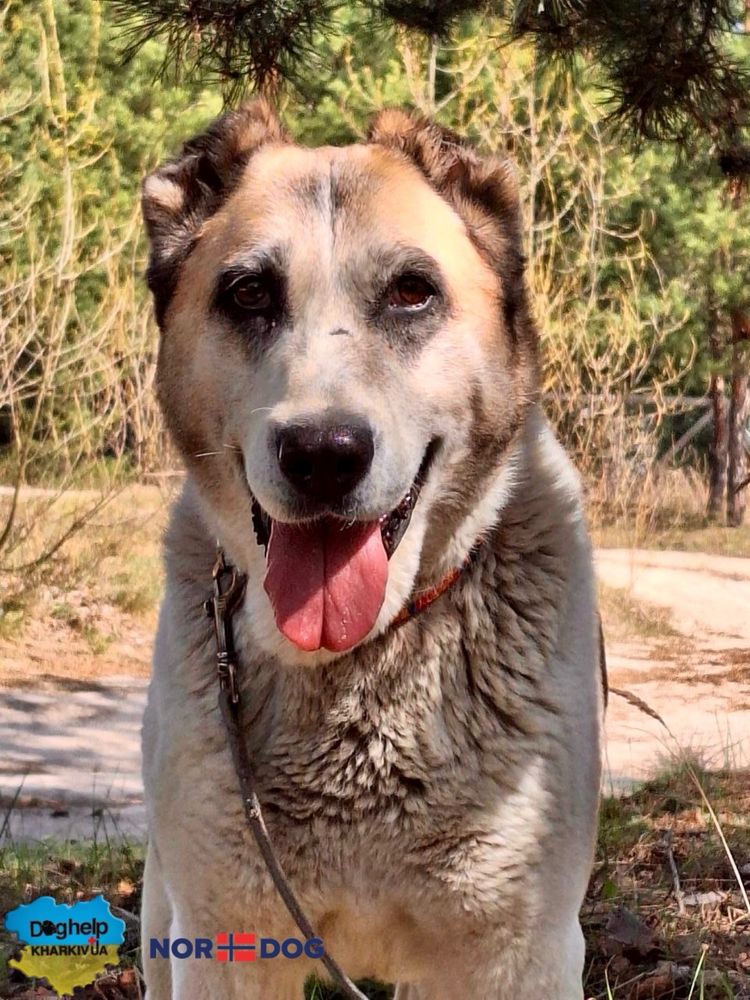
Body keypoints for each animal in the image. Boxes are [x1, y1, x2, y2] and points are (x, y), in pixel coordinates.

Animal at [138, 101, 604, 1000]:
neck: (357, 670)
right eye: (250, 293)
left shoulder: (518, 953)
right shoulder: (222, 942)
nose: (323, 453)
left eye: (412, 292)